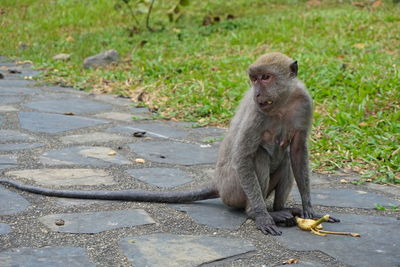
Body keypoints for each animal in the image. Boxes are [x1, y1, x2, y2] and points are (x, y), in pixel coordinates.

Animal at [0, 52, 340, 237]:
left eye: (266, 78)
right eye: (254, 79)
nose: (257, 92)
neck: (280, 104)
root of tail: (219, 184)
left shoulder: (303, 103)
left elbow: (298, 151)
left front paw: (309, 208)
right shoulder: (257, 114)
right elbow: (244, 155)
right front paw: (260, 215)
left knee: (285, 158)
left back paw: (282, 210)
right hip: (234, 189)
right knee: (257, 157)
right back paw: (259, 212)